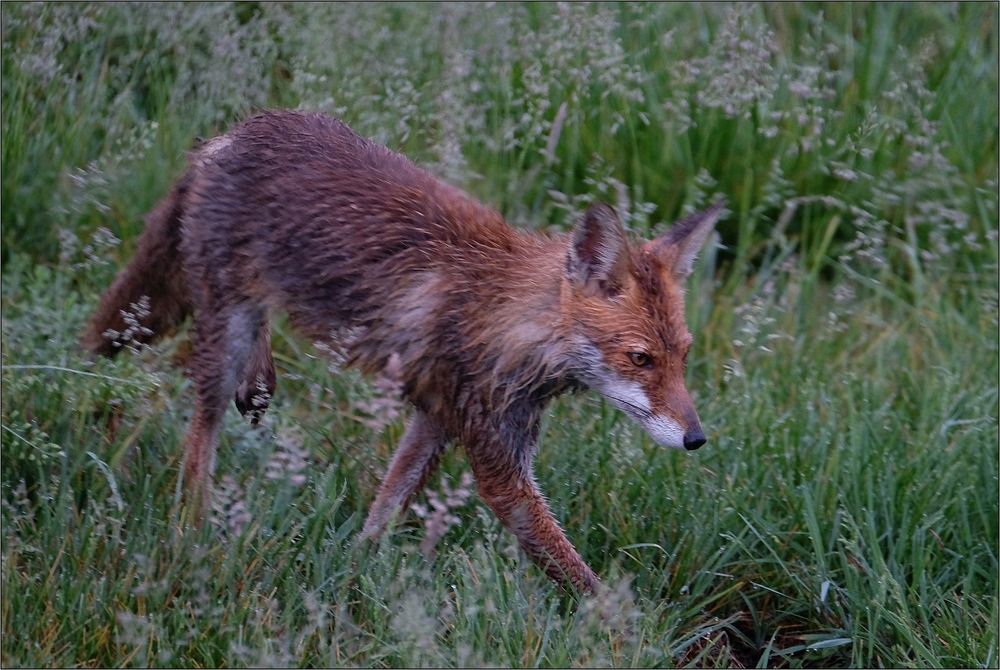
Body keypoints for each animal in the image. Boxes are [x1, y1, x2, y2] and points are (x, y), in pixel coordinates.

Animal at [82, 109, 724, 592]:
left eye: (683, 356)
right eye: (640, 358)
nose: (697, 439)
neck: (510, 323)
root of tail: (228, 135)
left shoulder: (437, 421)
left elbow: (385, 507)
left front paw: (353, 572)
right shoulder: (499, 465)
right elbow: (581, 578)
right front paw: (627, 635)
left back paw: (257, 385)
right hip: (224, 326)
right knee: (200, 439)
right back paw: (192, 531)